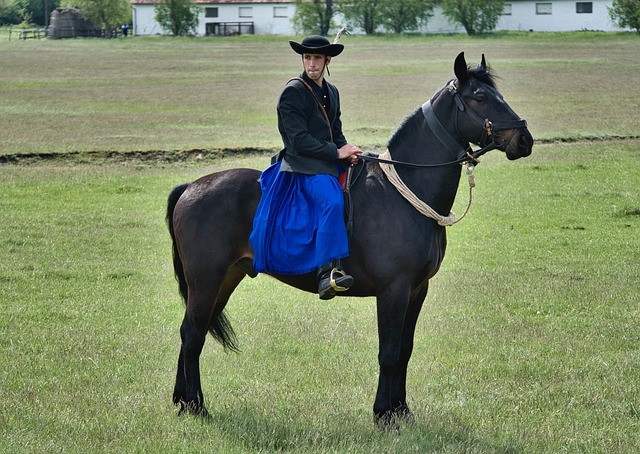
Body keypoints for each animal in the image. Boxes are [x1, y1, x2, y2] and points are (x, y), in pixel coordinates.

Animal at [168, 52, 532, 426]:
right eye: (480, 97)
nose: (524, 139)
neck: (404, 191)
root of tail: (191, 187)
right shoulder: (393, 290)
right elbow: (388, 351)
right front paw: (384, 414)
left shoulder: (418, 289)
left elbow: (405, 350)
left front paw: (402, 410)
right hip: (207, 281)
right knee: (193, 334)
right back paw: (196, 405)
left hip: (225, 279)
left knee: (190, 332)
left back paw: (183, 401)